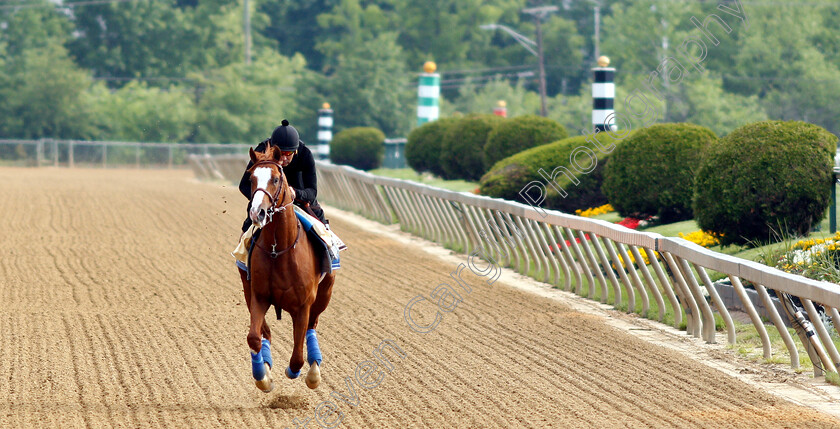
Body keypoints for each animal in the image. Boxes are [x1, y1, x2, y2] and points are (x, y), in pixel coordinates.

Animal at [238, 141, 336, 392]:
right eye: (251, 178)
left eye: (275, 179)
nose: (257, 212)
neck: (278, 249)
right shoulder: (259, 296)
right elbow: (254, 337)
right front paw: (263, 377)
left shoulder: (303, 305)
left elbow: (297, 357)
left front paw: (299, 372)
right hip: (247, 290)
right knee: (265, 333)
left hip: (324, 293)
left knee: (312, 325)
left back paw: (314, 370)